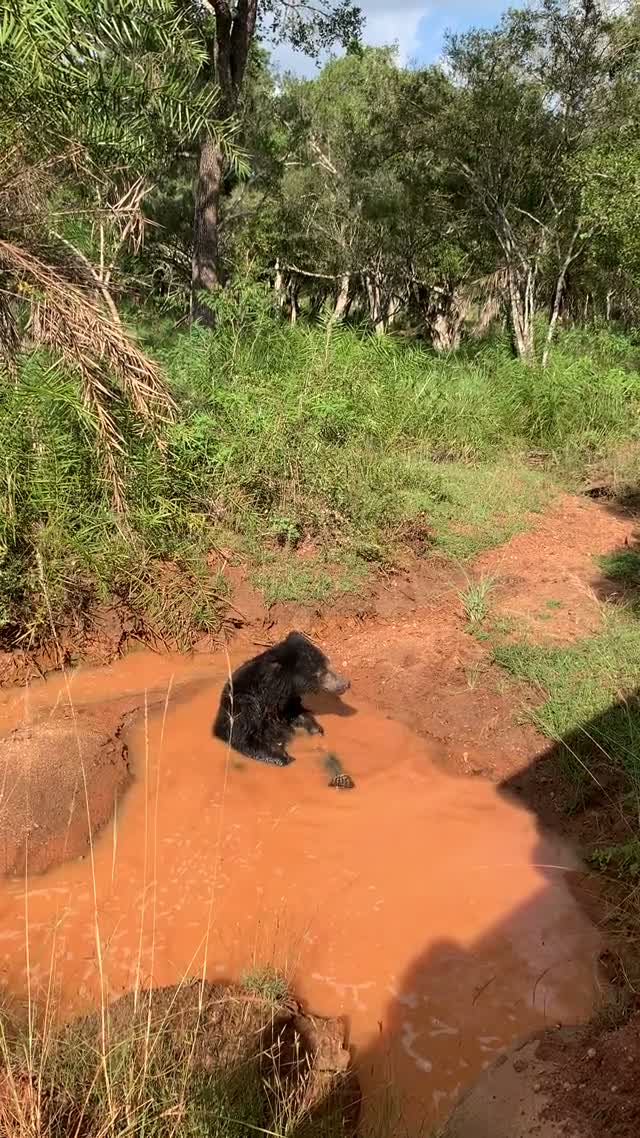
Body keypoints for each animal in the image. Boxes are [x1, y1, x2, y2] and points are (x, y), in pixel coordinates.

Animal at [213, 631, 350, 766]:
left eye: (327, 663)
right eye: (322, 672)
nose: (346, 684)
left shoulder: (287, 702)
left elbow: (297, 713)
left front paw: (317, 730)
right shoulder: (243, 706)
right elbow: (241, 737)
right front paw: (284, 756)